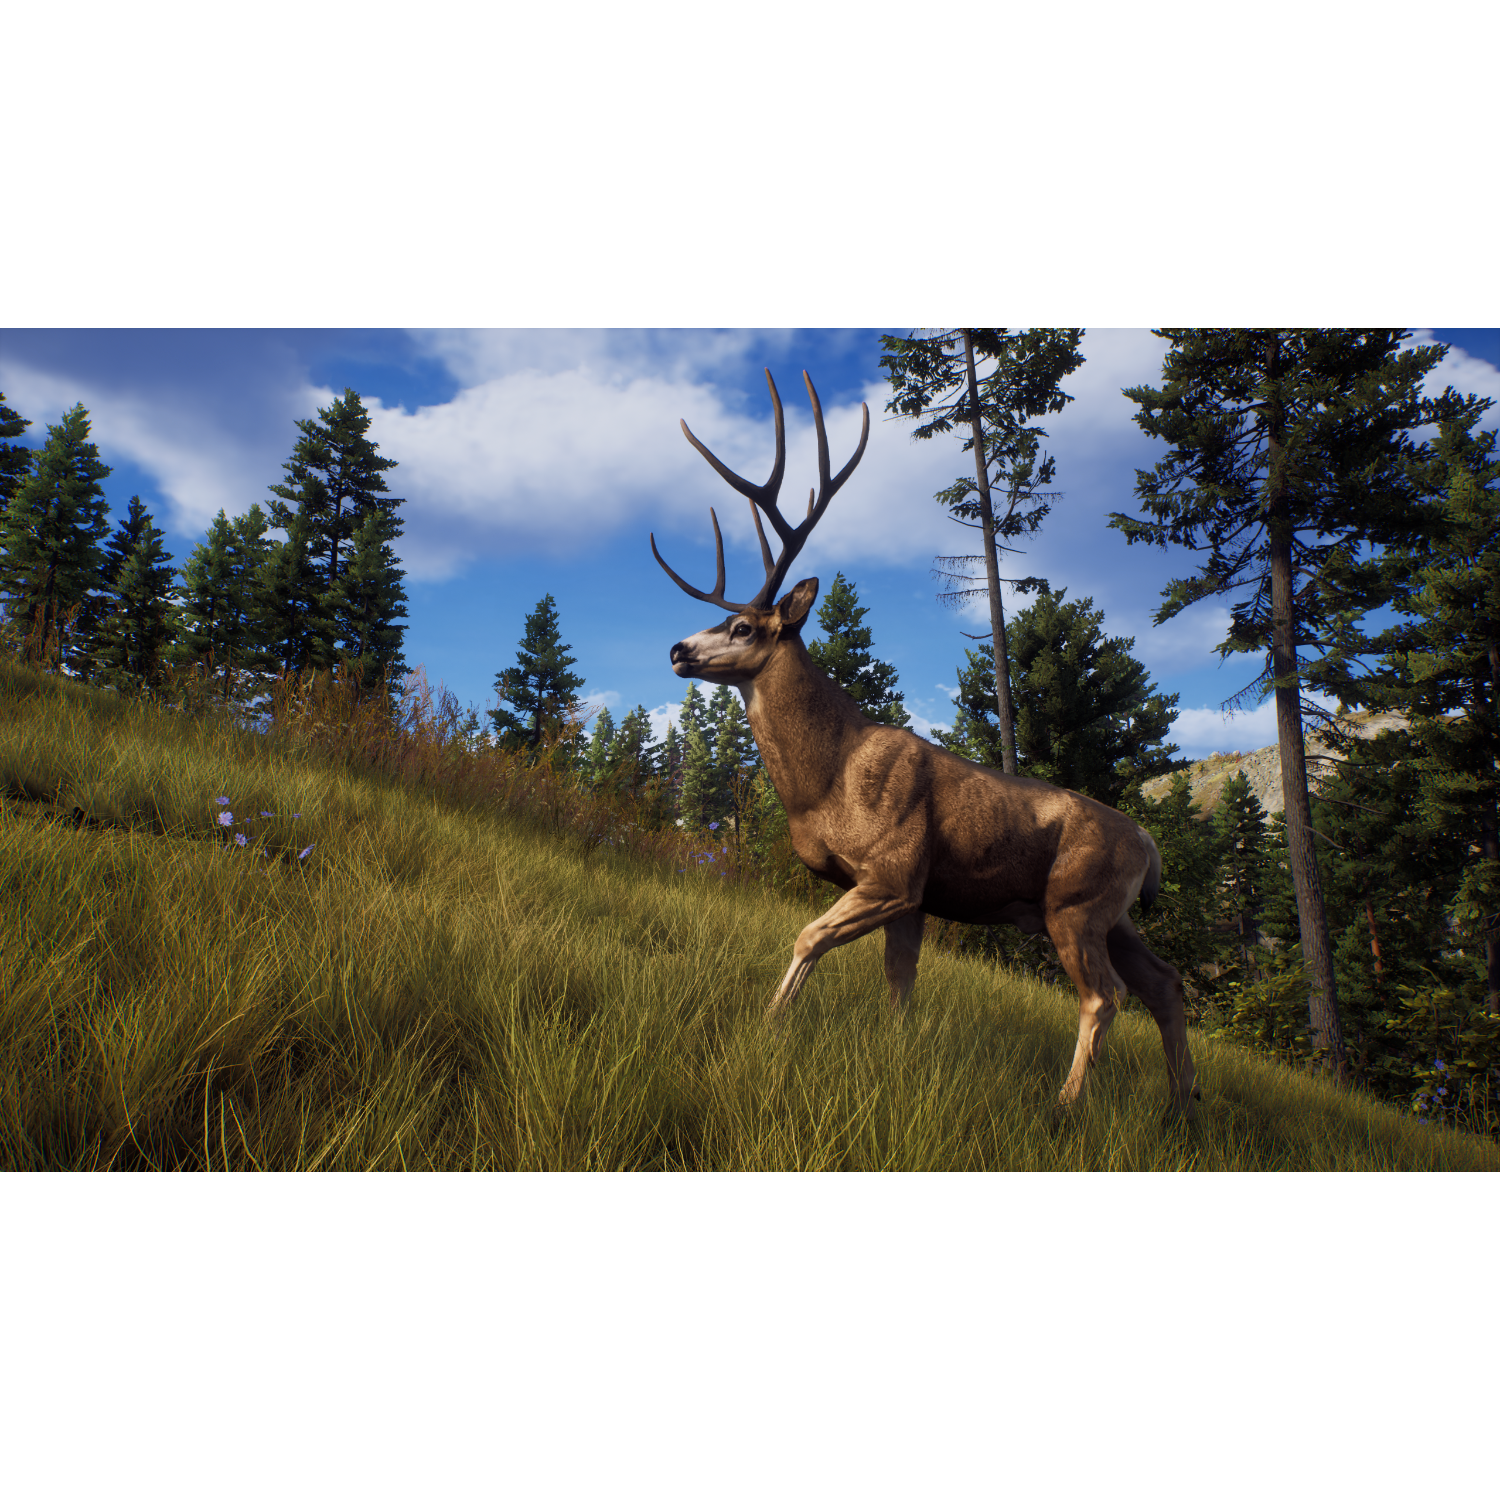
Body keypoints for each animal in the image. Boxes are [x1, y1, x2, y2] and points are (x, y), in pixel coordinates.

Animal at [651, 368, 1200, 1120]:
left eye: (743, 628)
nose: (678, 649)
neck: (825, 781)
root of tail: (1148, 845)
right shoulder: (911, 899)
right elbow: (899, 986)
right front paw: (895, 1060)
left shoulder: (895, 870)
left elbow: (808, 938)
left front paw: (766, 1028)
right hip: (1115, 917)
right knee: (1166, 983)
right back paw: (1182, 1109)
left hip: (1076, 906)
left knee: (1104, 997)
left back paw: (1065, 1105)